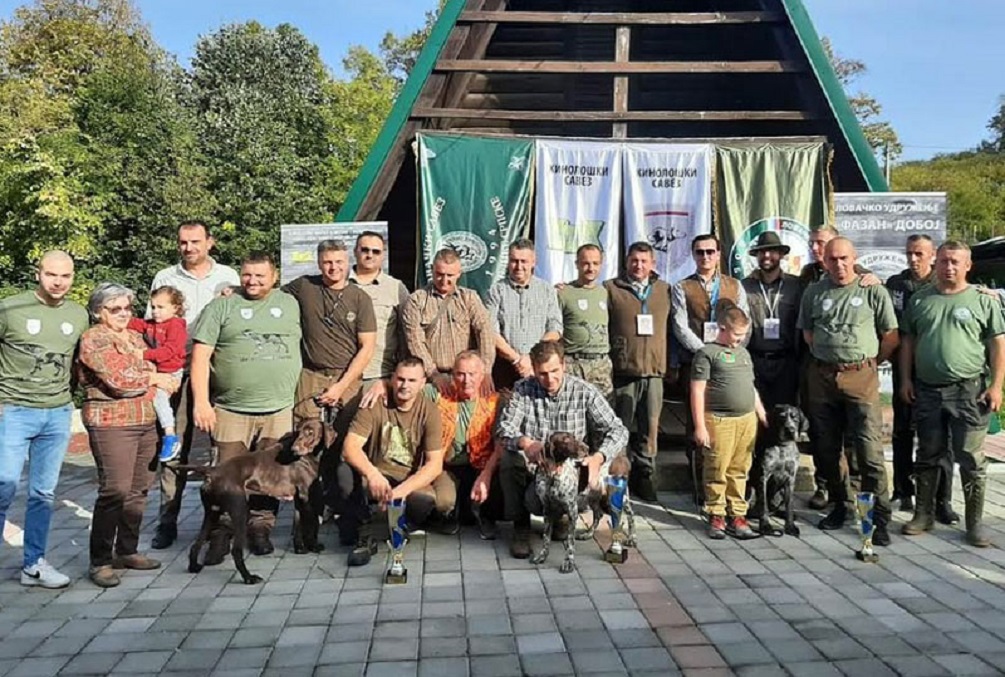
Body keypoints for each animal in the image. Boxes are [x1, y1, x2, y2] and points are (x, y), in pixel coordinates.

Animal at [187, 418, 334, 584]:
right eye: (298, 431)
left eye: (310, 432)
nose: (295, 449)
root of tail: (212, 471)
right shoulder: (306, 498)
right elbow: (311, 526)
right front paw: (313, 546)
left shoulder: (298, 500)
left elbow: (298, 526)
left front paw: (300, 549)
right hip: (239, 512)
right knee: (236, 551)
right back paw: (249, 577)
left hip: (211, 513)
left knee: (196, 544)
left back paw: (194, 567)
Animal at [751, 404, 809, 538]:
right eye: (781, 418)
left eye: (795, 419)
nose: (790, 430)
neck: (783, 447)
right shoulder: (763, 477)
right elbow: (763, 505)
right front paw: (765, 526)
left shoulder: (790, 479)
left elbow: (790, 506)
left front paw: (790, 526)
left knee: (774, 507)